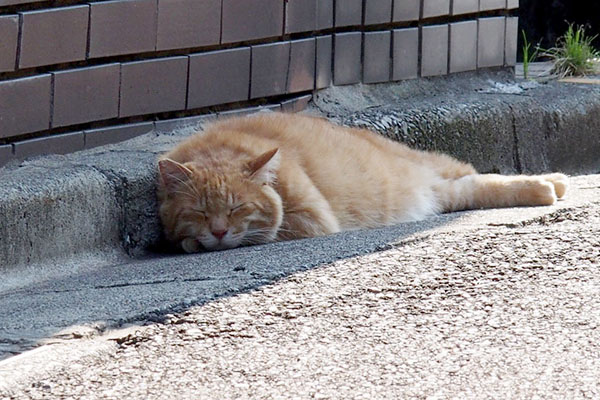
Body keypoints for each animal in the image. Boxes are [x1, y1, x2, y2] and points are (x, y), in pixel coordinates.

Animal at [156, 111, 568, 252]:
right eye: (199, 212)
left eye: (237, 208)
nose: (219, 231)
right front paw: (192, 241)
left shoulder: (312, 219)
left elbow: (265, 230)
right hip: (445, 192)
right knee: (474, 186)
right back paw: (554, 184)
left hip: (431, 171)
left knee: (476, 177)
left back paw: (549, 186)